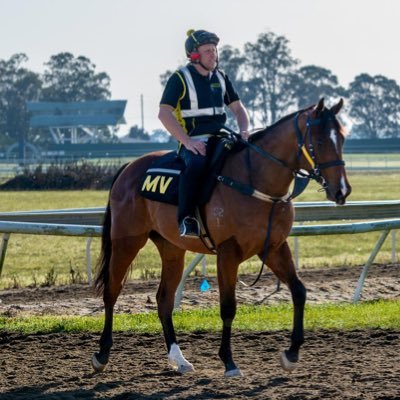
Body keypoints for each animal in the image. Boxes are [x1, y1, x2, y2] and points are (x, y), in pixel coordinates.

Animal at [90, 98, 350, 376]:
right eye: (320, 142)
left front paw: (291, 353)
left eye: (343, 138)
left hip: (172, 248)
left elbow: (299, 291)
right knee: (112, 291)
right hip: (126, 241)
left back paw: (179, 359)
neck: (255, 182)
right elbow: (228, 307)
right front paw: (229, 361)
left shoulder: (274, 247)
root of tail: (129, 167)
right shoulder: (228, 252)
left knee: (164, 300)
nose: (342, 191)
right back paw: (102, 354)